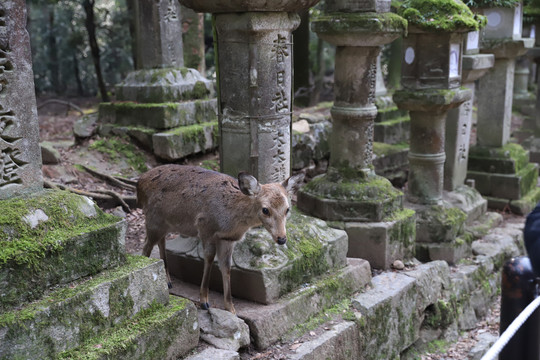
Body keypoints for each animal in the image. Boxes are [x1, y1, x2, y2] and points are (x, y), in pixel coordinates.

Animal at [136, 165, 304, 314]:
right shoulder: (205, 227)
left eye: (287, 209)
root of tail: (139, 184)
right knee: (146, 247)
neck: (231, 220)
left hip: (164, 224)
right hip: (153, 219)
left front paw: (231, 308)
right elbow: (209, 259)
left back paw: (168, 282)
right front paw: (204, 301)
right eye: (265, 210)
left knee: (160, 242)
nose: (281, 238)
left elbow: (226, 267)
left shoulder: (227, 239)